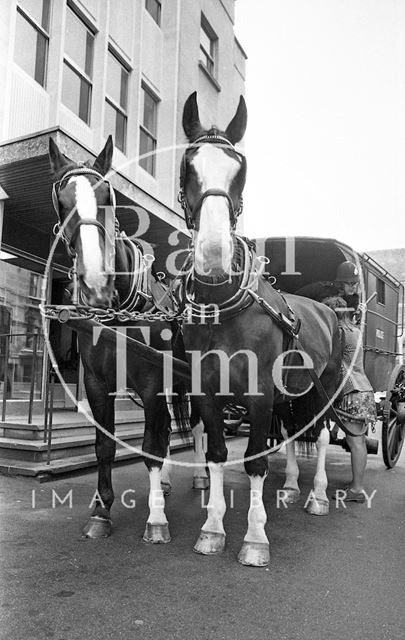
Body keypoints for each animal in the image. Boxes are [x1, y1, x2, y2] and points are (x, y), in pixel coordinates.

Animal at [48, 138, 190, 544]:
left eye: (107, 195)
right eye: (61, 200)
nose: (96, 283)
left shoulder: (153, 382)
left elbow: (150, 447)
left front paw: (156, 519)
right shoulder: (97, 382)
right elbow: (105, 445)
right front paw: (101, 510)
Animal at [180, 91, 340, 564]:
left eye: (241, 169)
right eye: (188, 164)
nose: (213, 253)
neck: (224, 311)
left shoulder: (260, 392)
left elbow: (254, 461)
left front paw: (254, 538)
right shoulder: (207, 391)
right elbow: (217, 453)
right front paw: (213, 529)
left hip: (323, 386)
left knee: (319, 436)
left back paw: (317, 495)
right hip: (292, 392)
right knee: (291, 433)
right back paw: (289, 488)